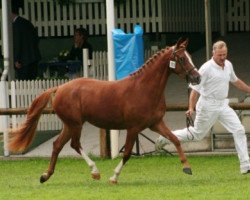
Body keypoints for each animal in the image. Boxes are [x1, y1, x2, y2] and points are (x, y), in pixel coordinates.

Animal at [8, 38, 201, 184]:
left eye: (189, 56)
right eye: (182, 58)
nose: (197, 78)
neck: (144, 89)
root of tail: (60, 87)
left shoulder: (155, 123)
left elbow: (175, 139)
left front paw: (187, 167)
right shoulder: (133, 128)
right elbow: (127, 153)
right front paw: (114, 177)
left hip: (70, 124)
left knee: (57, 145)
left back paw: (45, 176)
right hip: (75, 124)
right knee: (74, 144)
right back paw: (95, 172)